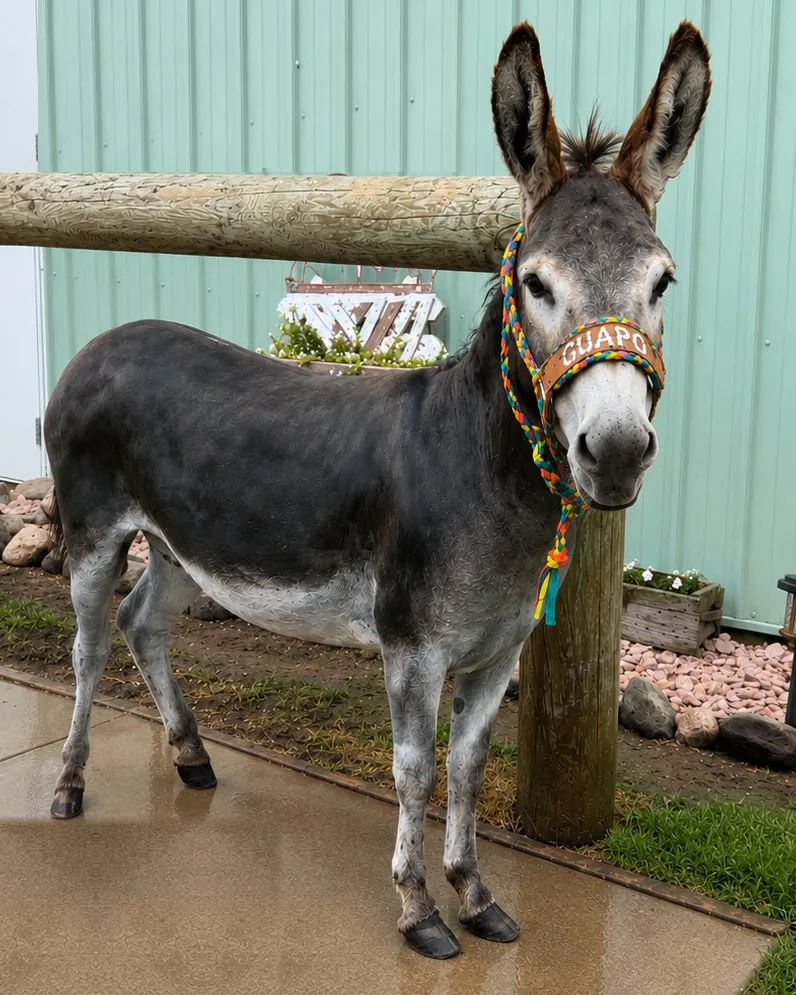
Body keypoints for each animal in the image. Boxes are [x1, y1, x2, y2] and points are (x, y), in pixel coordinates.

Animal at [42, 21, 710, 960]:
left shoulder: (499, 651)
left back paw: (191, 757)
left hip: (183, 543)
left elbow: (469, 766)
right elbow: (416, 768)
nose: (614, 452)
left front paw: (477, 894)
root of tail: (101, 339)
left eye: (662, 281)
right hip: (95, 531)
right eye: (536, 283)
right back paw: (68, 784)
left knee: (142, 622)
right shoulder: (412, 646)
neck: (484, 473)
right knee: (90, 644)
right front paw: (418, 908)